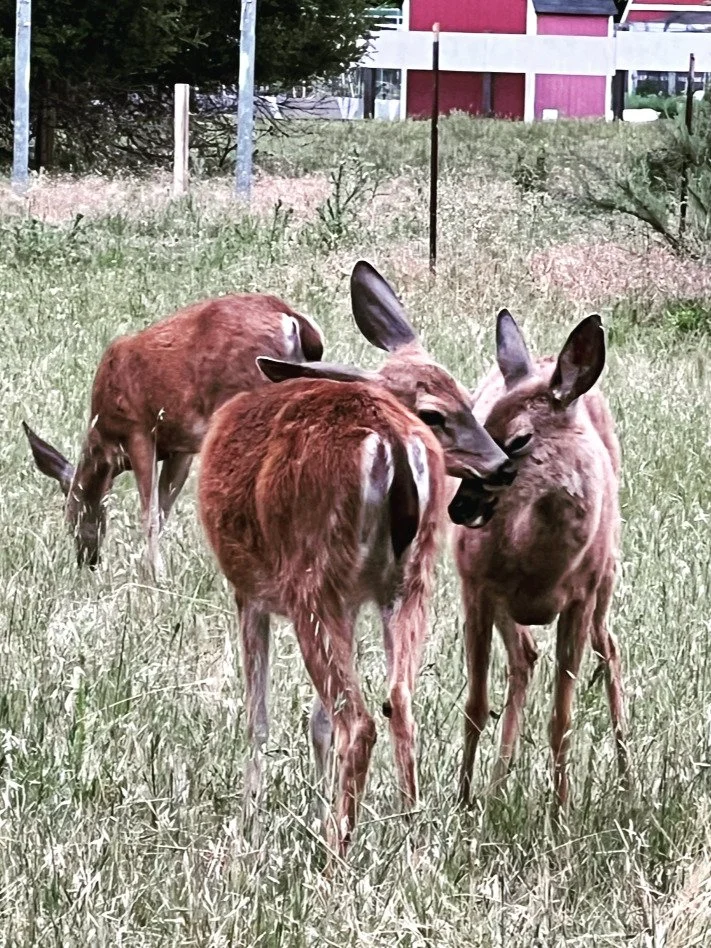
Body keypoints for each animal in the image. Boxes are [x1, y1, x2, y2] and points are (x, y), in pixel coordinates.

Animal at [22, 292, 323, 573]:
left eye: (70, 512)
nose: (87, 560)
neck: (105, 440)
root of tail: (289, 316)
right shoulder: (181, 448)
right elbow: (164, 509)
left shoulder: (138, 431)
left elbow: (149, 513)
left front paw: (152, 574)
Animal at [198, 261, 517, 855]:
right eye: (438, 411)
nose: (503, 464)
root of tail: (389, 437)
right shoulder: (351, 600)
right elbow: (316, 720)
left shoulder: (248, 590)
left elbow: (259, 717)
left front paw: (251, 817)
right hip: (411, 578)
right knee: (399, 700)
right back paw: (410, 824)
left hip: (311, 578)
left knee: (358, 720)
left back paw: (335, 850)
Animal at [450, 310, 630, 811]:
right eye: (479, 425)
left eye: (519, 440)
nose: (459, 508)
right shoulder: (476, 587)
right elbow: (475, 707)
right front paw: (462, 803)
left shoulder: (581, 596)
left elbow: (561, 720)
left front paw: (560, 812)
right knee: (525, 657)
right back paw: (495, 786)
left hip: (607, 580)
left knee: (609, 649)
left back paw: (629, 781)